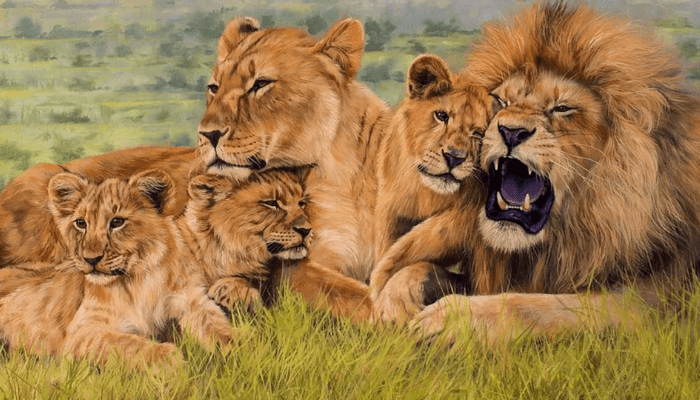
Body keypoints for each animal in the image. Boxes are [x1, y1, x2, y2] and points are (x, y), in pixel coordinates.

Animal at [0, 169, 237, 366]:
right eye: (81, 223)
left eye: (117, 222)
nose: (91, 259)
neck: (141, 278)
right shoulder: (81, 332)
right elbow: (129, 344)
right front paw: (172, 360)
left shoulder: (193, 301)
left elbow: (219, 329)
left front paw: (239, 351)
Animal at [412, 1, 700, 344]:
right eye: (500, 100)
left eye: (562, 108)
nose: (511, 132)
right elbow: (421, 268)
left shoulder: (657, 302)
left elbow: (542, 306)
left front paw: (451, 319)